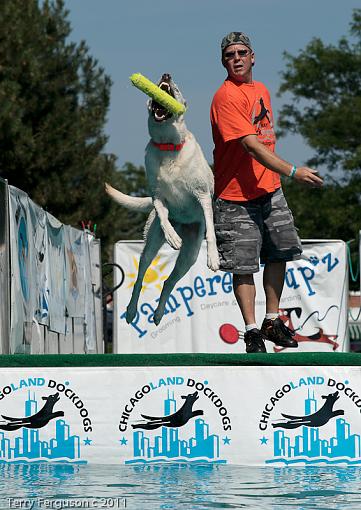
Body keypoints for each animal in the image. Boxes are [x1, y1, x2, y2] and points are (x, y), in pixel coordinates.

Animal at [105, 73, 218, 324]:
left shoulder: (203, 195)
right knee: (140, 276)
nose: (166, 75)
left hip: (189, 256)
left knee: (168, 282)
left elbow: (212, 230)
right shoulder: (157, 197)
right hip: (150, 246)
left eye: (176, 88)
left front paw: (214, 257)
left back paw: (158, 313)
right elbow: (164, 216)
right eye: (160, 81)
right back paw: (131, 311)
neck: (168, 145)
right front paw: (172, 236)